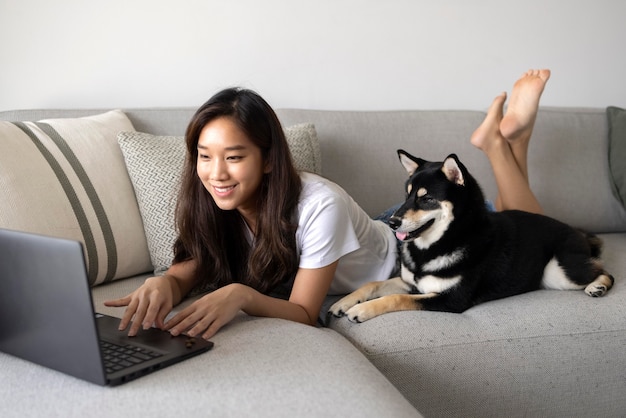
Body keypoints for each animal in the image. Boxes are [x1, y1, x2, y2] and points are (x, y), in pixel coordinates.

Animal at [330, 150, 612, 324]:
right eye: (407, 195)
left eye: (427, 198)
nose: (392, 222)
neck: (436, 246)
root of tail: (578, 232)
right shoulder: (412, 283)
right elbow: (372, 285)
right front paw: (345, 302)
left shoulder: (451, 299)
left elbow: (394, 298)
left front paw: (360, 310)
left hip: (557, 271)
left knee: (604, 271)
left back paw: (597, 286)